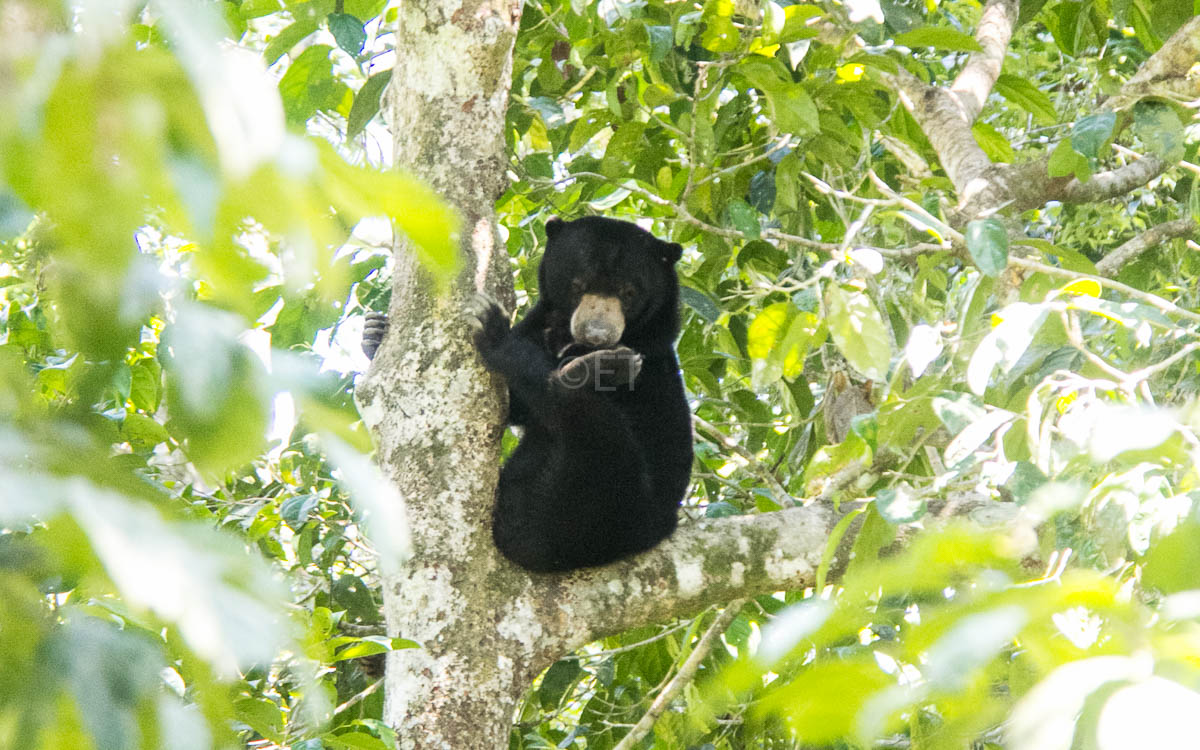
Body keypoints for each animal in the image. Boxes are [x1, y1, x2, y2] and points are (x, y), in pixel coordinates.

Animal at [469, 216, 694, 572]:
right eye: (578, 284)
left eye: (629, 293)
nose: (597, 335)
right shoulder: (540, 323)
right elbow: (516, 406)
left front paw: (493, 328)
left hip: (608, 499)